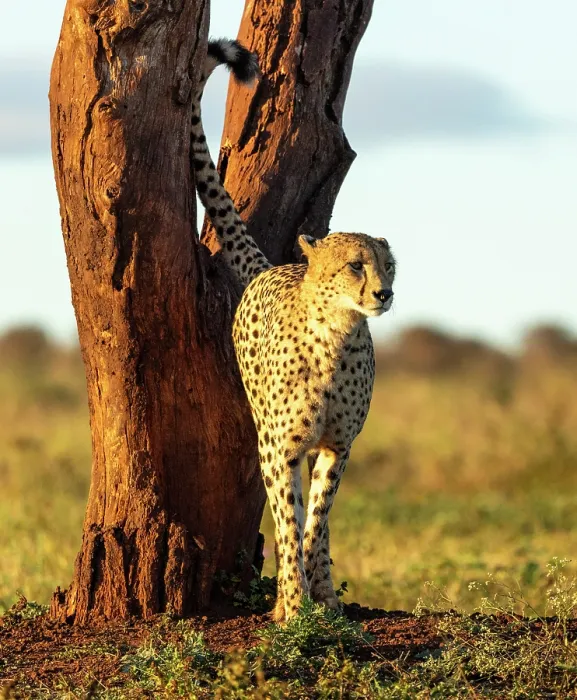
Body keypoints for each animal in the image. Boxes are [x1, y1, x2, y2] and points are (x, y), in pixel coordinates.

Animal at [191, 39, 396, 621]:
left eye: (388, 266)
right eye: (355, 266)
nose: (384, 294)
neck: (336, 336)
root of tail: (274, 267)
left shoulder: (337, 445)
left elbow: (316, 520)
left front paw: (317, 595)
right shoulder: (278, 447)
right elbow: (287, 520)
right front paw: (290, 606)